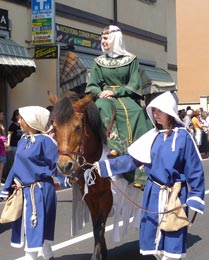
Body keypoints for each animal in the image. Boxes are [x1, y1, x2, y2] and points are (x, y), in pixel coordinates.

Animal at [49, 92, 112, 260]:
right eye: (55, 127)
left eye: (78, 127)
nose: (64, 165)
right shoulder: (91, 196)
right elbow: (96, 226)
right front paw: (102, 253)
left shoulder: (107, 195)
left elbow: (100, 227)